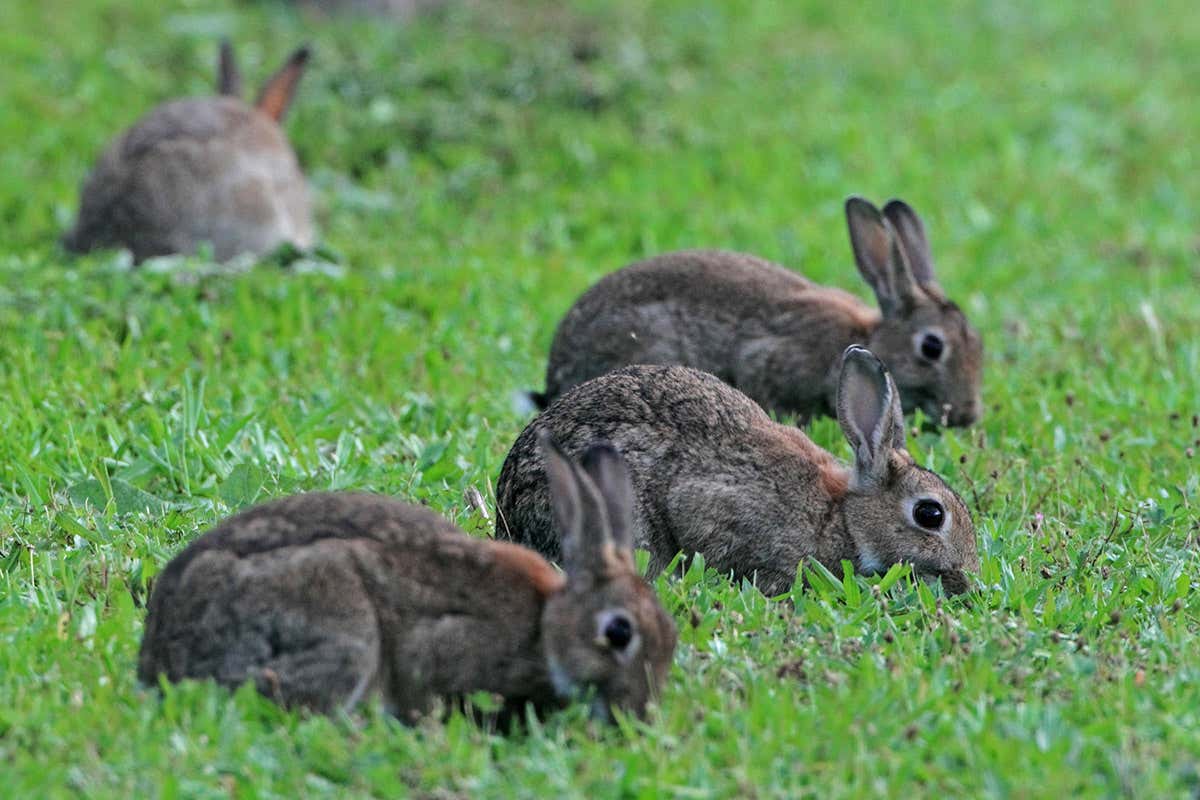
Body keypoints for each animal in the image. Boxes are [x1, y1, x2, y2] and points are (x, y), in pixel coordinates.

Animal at [532, 197, 983, 427]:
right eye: (931, 347)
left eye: (978, 347)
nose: (967, 415)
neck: (868, 336)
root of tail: (555, 376)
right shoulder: (768, 361)